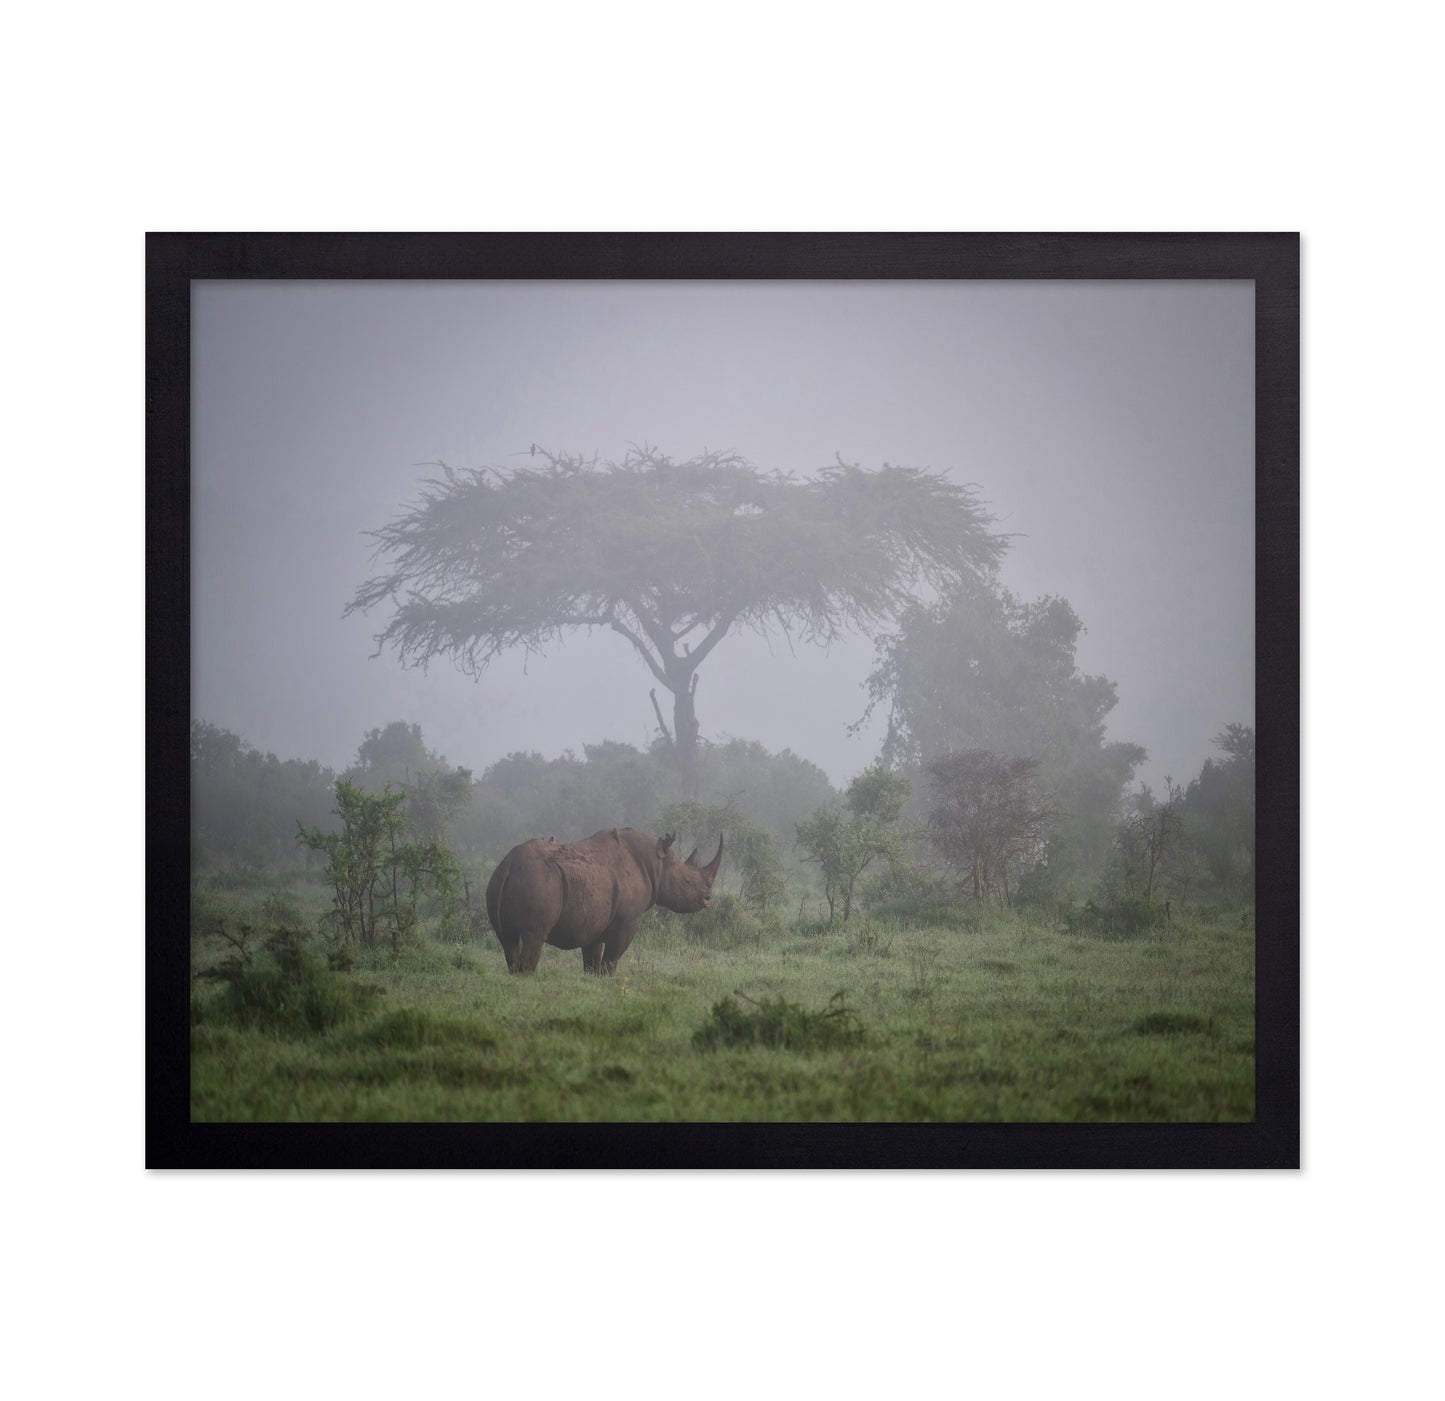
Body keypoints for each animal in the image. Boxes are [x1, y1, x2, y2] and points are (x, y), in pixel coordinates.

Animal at [485, 827, 723, 973]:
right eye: (687, 881)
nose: (707, 899)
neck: (656, 864)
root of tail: (508, 865)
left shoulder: (593, 921)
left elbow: (592, 960)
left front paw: (593, 982)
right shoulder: (626, 920)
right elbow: (612, 958)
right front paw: (609, 982)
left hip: (497, 882)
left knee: (507, 939)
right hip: (539, 881)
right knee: (534, 935)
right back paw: (528, 979)